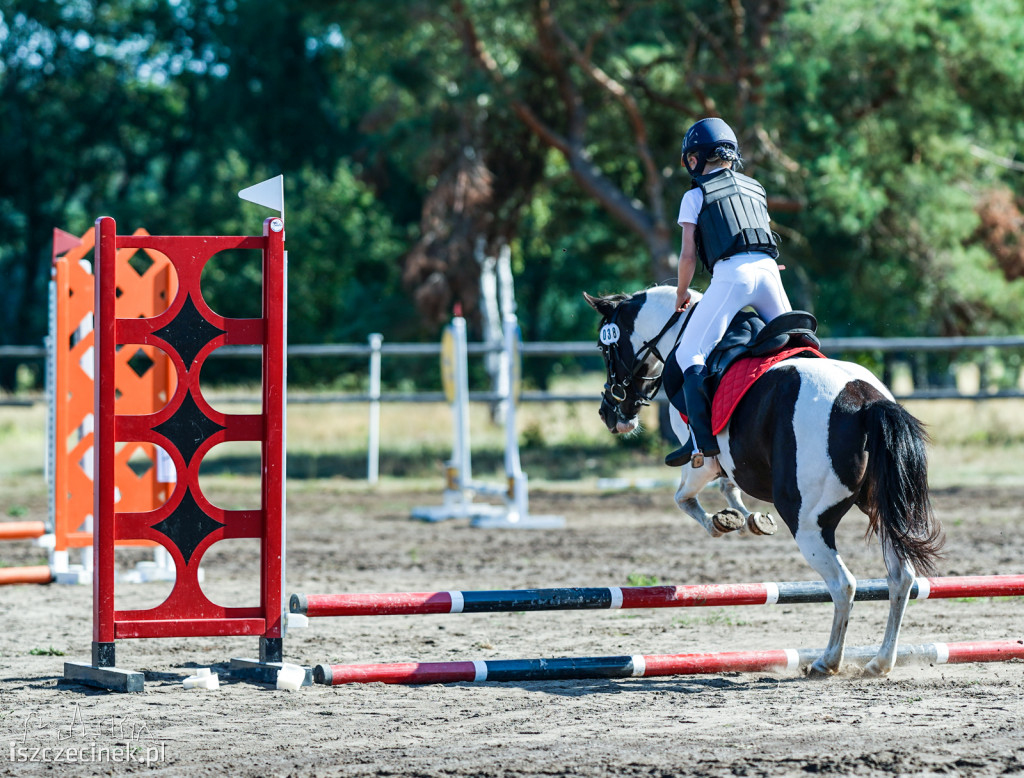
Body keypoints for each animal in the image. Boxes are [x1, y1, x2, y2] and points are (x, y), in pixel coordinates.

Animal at [585, 284, 942, 675]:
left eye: (605, 348)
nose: (609, 414)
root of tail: (866, 401)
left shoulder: (700, 460)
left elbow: (685, 498)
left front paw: (724, 522)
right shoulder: (730, 463)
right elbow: (729, 487)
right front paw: (749, 518)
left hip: (807, 520)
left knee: (843, 584)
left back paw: (827, 661)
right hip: (880, 510)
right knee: (900, 578)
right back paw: (880, 662)